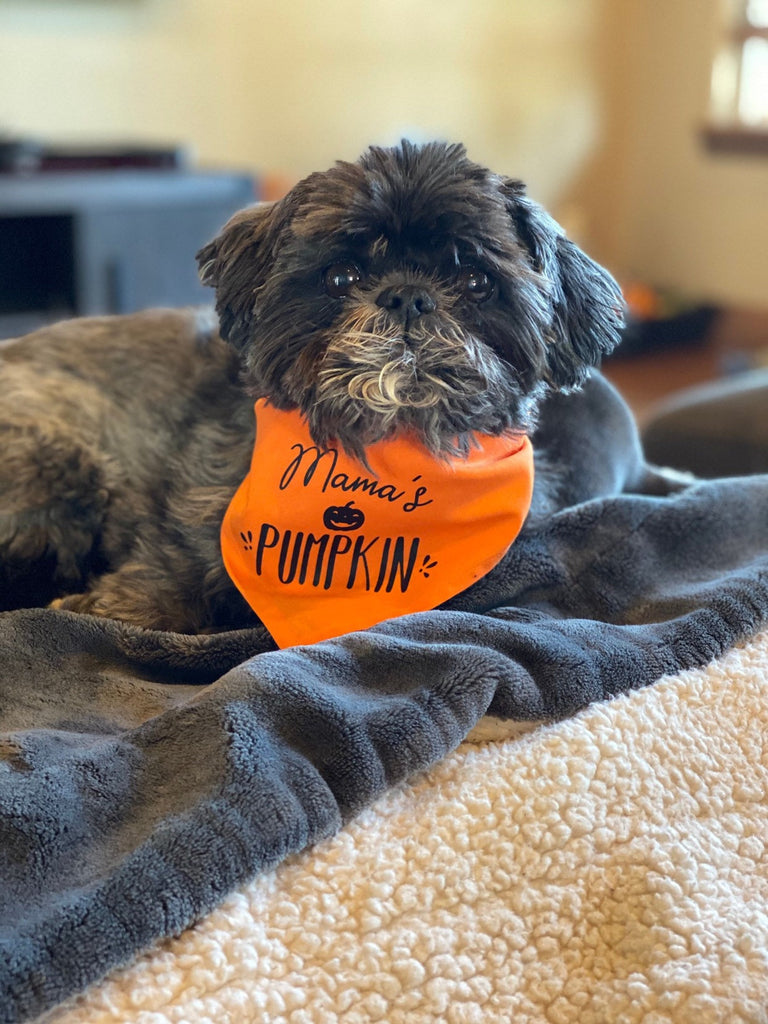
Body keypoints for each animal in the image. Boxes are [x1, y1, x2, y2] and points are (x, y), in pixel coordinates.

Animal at [0, 140, 651, 634]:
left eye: (474, 279)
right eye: (342, 276)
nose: (408, 296)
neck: (378, 454)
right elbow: (170, 561)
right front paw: (119, 606)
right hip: (62, 458)